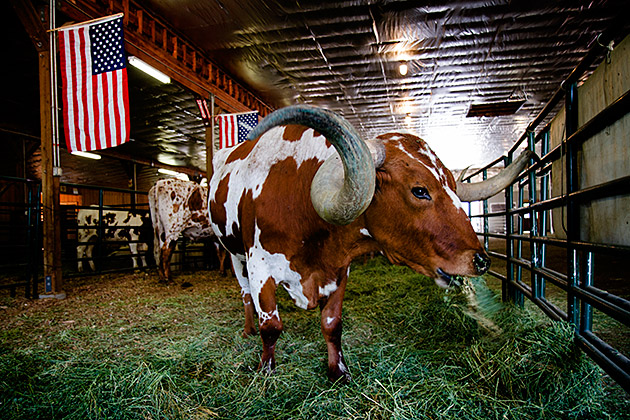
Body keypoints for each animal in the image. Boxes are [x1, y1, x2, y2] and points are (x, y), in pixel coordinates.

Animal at [210, 104, 536, 380]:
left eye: (454, 188)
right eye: (419, 190)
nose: (481, 260)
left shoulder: (338, 269)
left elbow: (332, 324)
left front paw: (338, 371)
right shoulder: (260, 267)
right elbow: (271, 326)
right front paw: (266, 369)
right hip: (235, 256)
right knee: (246, 296)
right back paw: (248, 330)